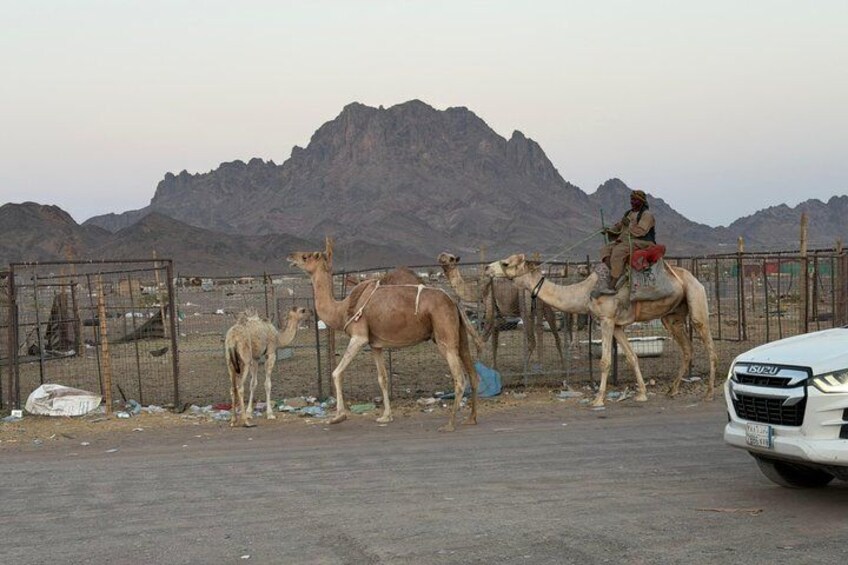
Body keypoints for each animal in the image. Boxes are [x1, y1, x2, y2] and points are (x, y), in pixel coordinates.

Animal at [287, 240, 479, 431]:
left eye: (305, 256)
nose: (290, 256)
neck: (342, 309)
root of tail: (453, 301)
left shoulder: (359, 337)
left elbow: (336, 372)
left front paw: (338, 417)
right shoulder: (375, 345)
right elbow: (383, 378)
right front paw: (386, 416)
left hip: (444, 334)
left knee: (459, 378)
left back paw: (449, 424)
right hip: (459, 333)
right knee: (472, 373)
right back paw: (471, 419)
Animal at [437, 252, 566, 372]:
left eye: (451, 258)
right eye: (443, 255)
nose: (441, 256)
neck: (478, 289)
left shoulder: (490, 305)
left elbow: (482, 339)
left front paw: (479, 366)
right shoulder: (498, 315)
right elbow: (495, 342)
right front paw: (494, 367)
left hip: (524, 305)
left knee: (532, 339)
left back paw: (524, 368)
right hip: (545, 304)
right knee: (554, 333)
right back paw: (560, 366)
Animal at [485, 254, 717, 407]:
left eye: (506, 263)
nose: (487, 268)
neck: (585, 292)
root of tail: (694, 278)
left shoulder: (606, 319)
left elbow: (605, 361)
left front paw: (597, 399)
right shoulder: (617, 325)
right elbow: (631, 356)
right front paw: (642, 393)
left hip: (696, 299)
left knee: (709, 346)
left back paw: (708, 393)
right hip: (672, 316)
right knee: (687, 349)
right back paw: (673, 390)